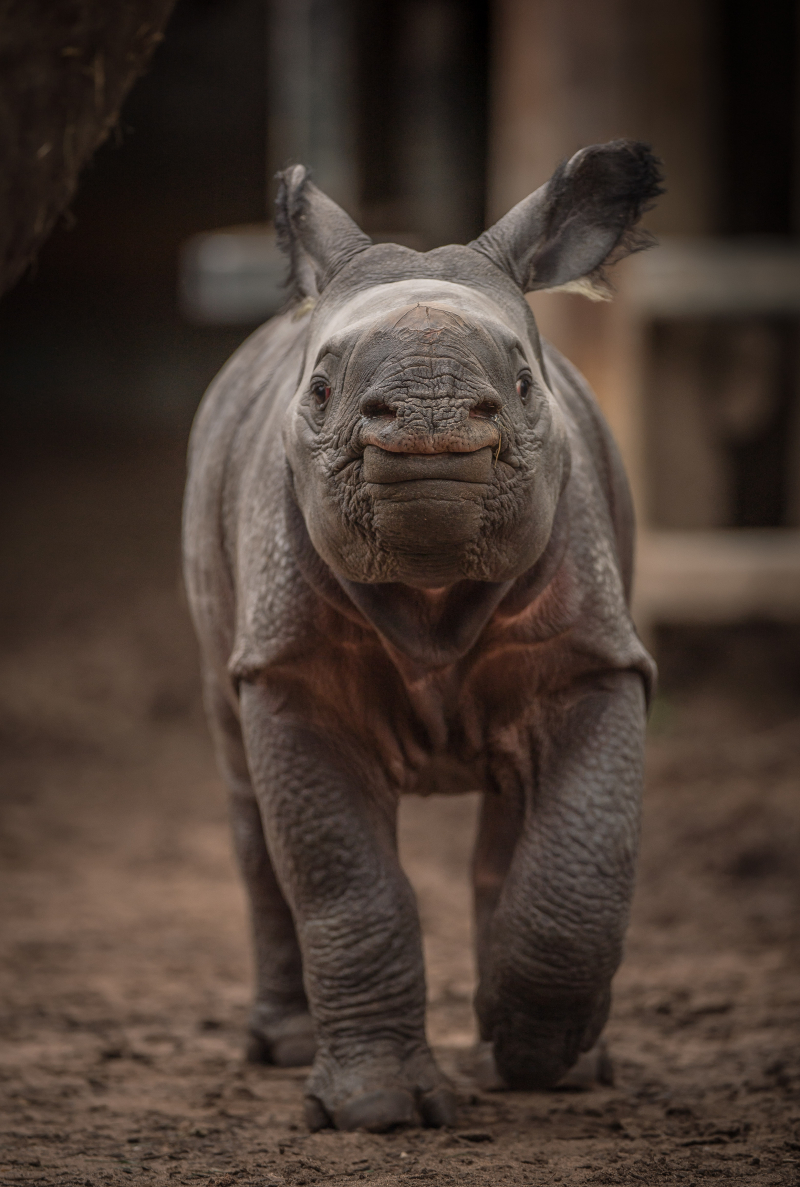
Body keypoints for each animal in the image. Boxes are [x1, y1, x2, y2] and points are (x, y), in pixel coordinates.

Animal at [182, 139, 662, 1133]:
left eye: (522, 384)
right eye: (322, 388)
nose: (430, 415)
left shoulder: (594, 661)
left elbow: (579, 862)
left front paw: (539, 1052)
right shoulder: (289, 671)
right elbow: (346, 882)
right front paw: (377, 1110)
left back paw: (554, 1060)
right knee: (244, 791)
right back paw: (284, 1048)